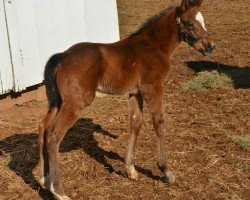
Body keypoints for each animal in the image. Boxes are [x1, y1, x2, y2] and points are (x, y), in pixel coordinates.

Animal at [38, 0, 214, 199]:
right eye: (190, 23)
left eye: (203, 20)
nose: (210, 46)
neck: (153, 46)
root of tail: (63, 55)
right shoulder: (153, 87)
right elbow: (159, 122)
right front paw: (166, 171)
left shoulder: (135, 92)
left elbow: (136, 123)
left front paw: (130, 169)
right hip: (76, 103)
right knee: (54, 133)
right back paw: (58, 190)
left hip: (57, 102)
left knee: (43, 128)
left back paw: (44, 179)